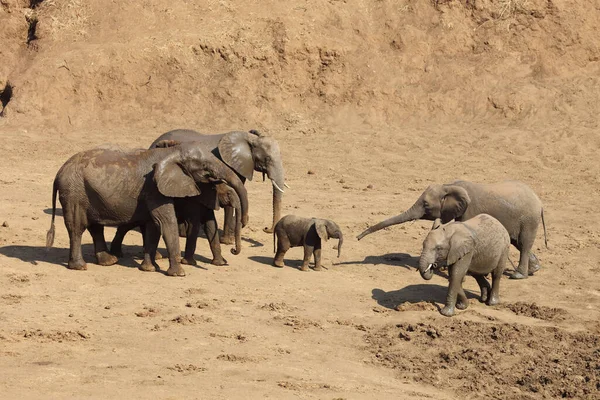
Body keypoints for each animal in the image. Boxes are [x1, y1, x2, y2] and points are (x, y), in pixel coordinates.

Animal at [45, 142, 248, 276]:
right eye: (206, 169)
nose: (233, 250)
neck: (171, 152)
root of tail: (58, 173)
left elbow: (153, 227)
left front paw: (149, 269)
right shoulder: (154, 188)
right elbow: (166, 223)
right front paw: (178, 273)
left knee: (96, 227)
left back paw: (109, 261)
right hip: (74, 193)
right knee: (77, 227)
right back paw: (80, 266)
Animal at [356, 180, 548, 280]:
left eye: (426, 205)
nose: (357, 238)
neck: (449, 185)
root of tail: (540, 204)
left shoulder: (470, 209)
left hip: (529, 219)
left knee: (524, 244)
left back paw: (518, 275)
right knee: (519, 243)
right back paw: (533, 269)